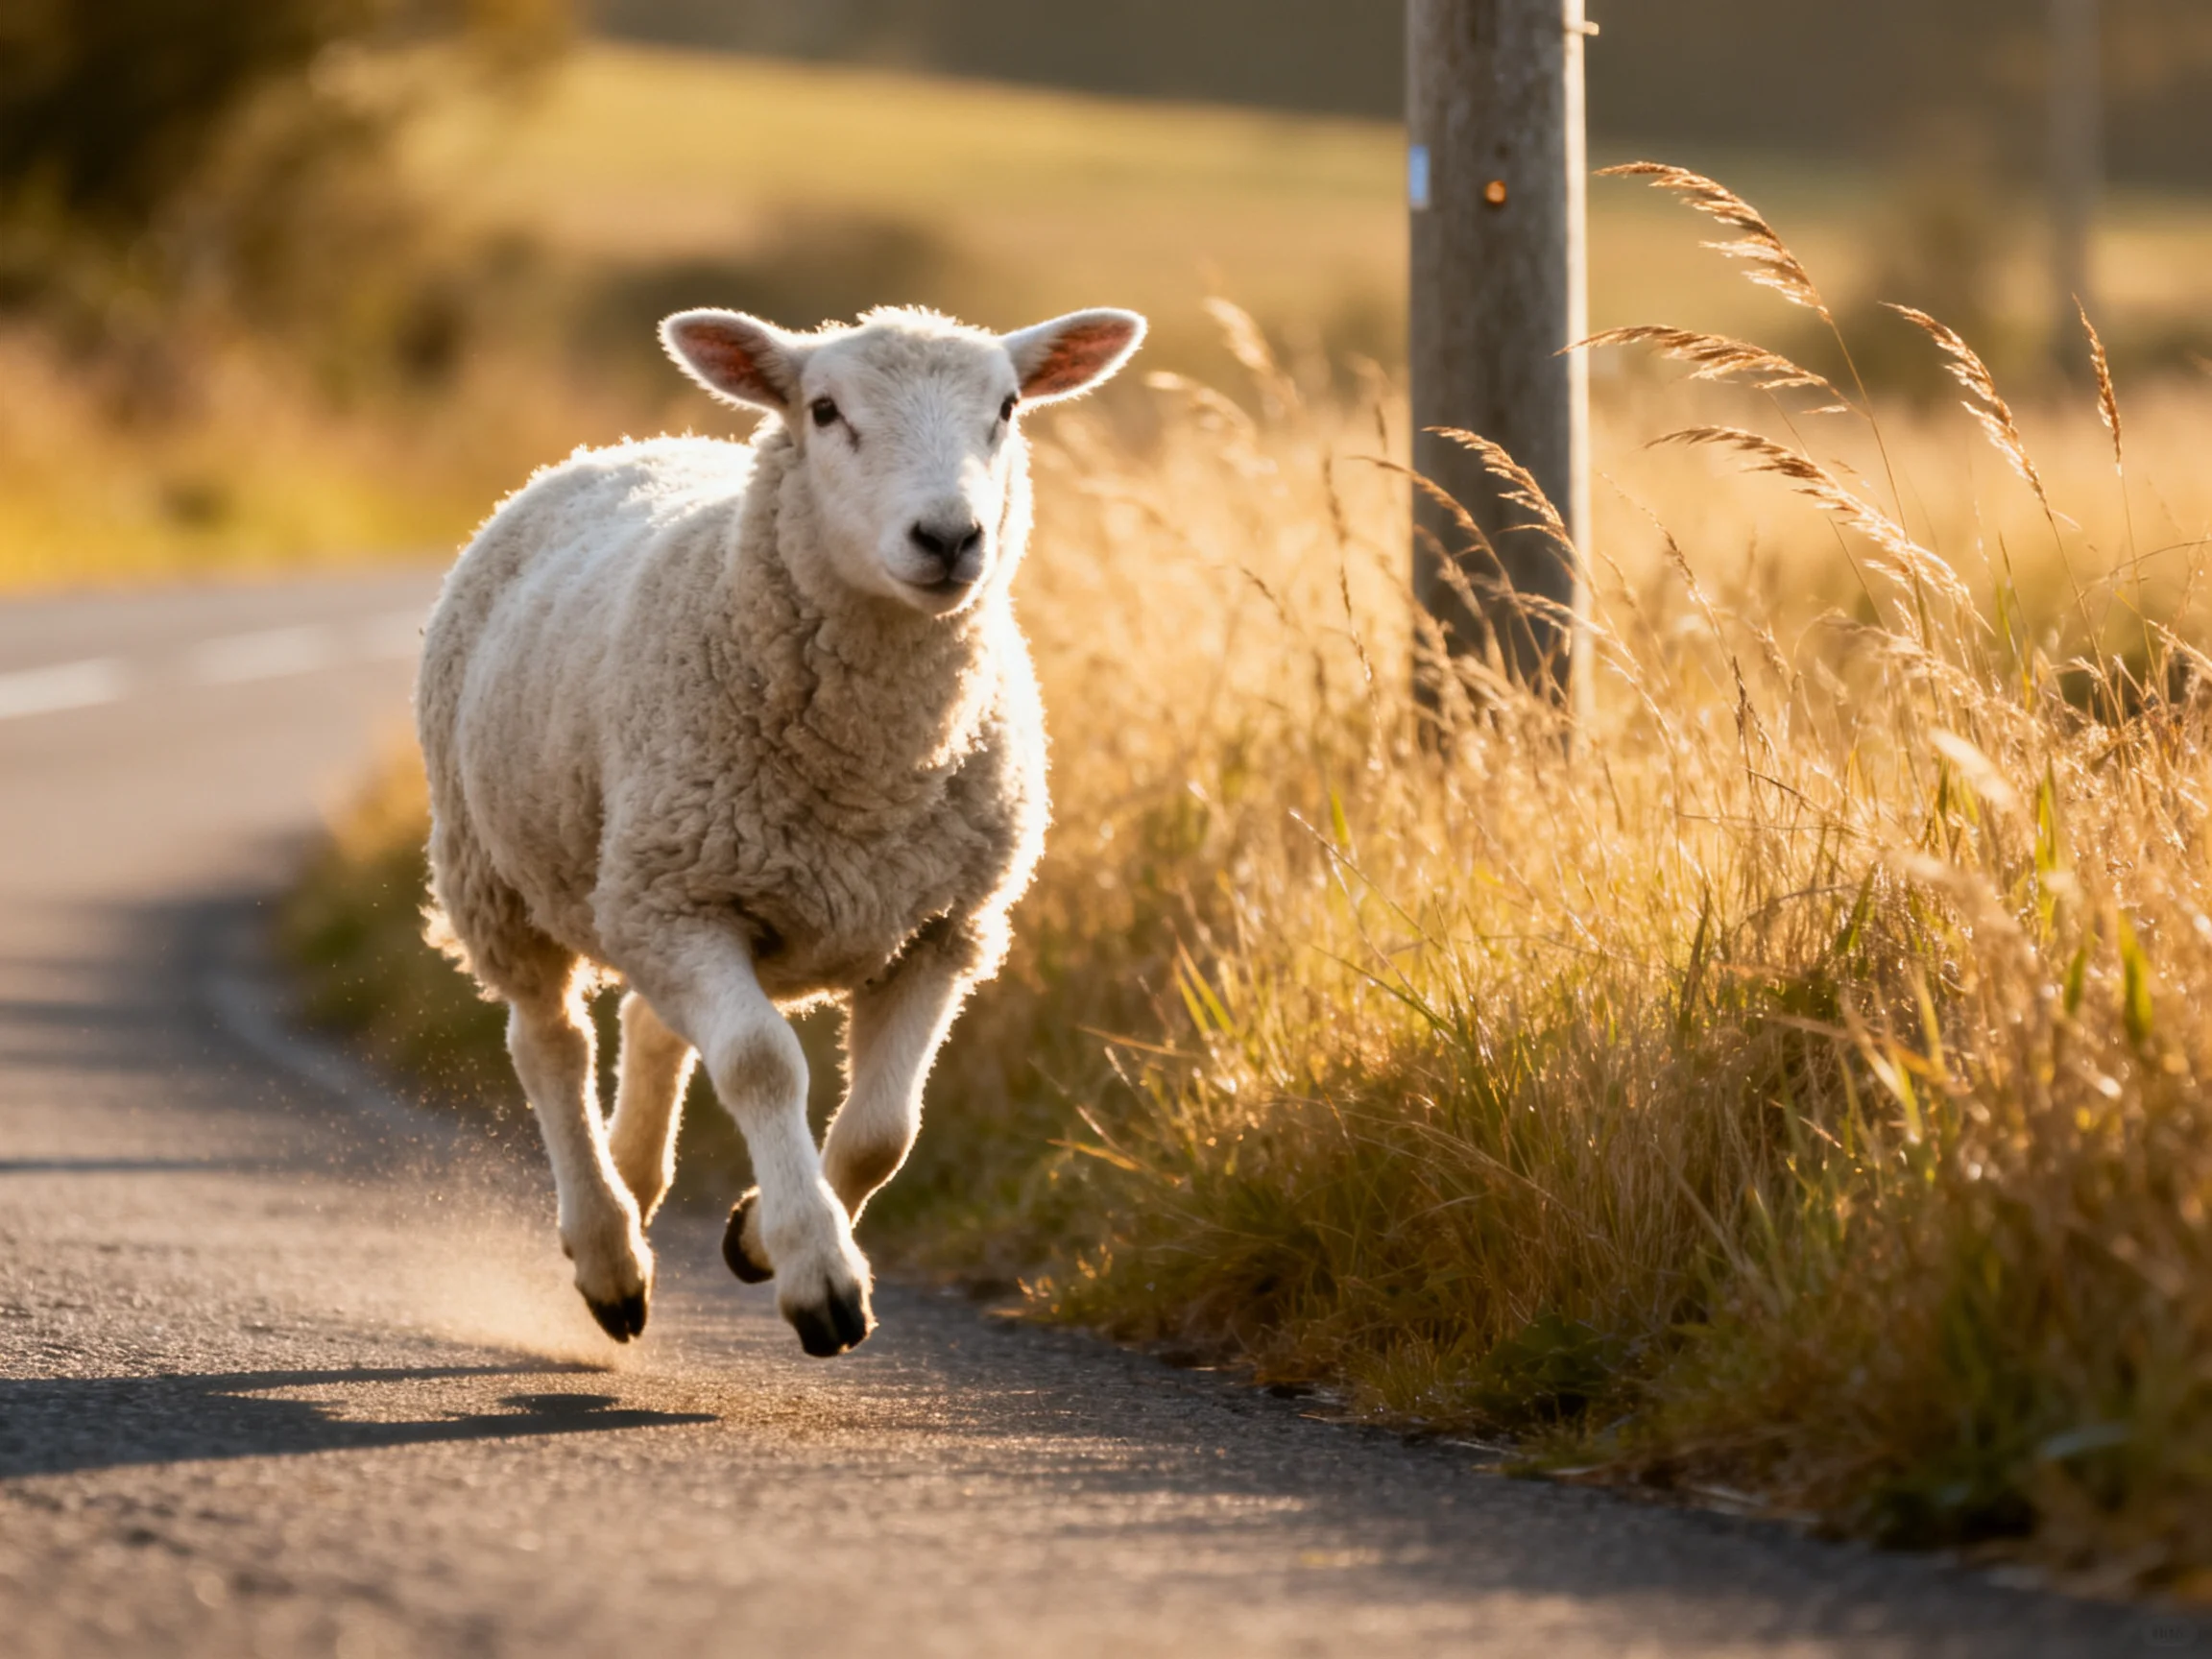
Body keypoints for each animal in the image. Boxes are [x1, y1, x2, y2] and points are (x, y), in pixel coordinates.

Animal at [415, 303, 1145, 1356]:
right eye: (825, 410)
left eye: (1008, 406)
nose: (949, 536)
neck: (871, 778)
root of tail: (626, 446)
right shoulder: (688, 902)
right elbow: (763, 1065)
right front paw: (819, 1275)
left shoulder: (946, 928)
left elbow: (886, 1130)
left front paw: (761, 1235)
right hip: (504, 875)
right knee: (550, 1042)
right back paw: (608, 1250)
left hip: (647, 890)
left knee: (649, 1022)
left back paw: (637, 1179)